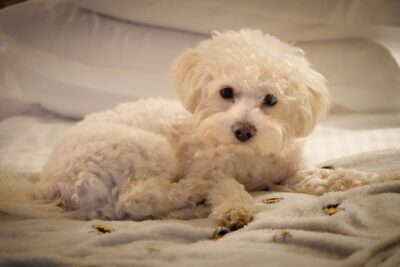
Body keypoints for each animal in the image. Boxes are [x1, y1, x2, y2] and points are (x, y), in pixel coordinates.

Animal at [39, 28, 384, 230]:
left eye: (271, 99)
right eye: (226, 92)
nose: (243, 130)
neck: (249, 156)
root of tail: (52, 180)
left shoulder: (290, 174)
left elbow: (331, 176)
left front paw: (375, 178)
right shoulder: (212, 169)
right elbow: (227, 185)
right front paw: (235, 209)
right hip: (145, 149)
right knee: (136, 200)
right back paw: (193, 194)